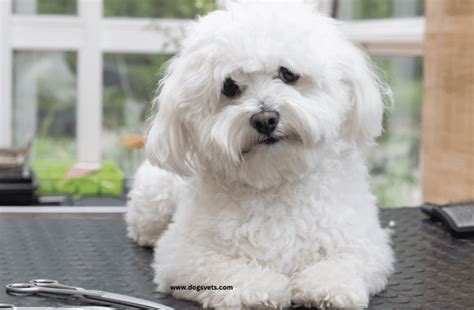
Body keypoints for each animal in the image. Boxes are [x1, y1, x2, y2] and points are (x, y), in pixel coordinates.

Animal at [125, 2, 392, 308]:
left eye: (288, 74)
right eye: (229, 86)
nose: (265, 119)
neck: (276, 183)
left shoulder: (366, 242)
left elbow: (346, 262)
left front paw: (326, 287)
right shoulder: (183, 254)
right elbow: (226, 268)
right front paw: (259, 288)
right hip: (154, 195)